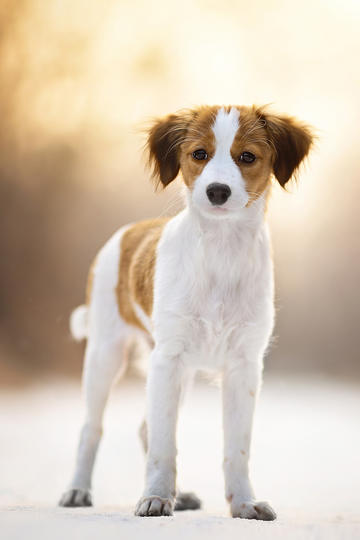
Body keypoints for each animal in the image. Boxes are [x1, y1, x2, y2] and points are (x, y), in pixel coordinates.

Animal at [58, 104, 312, 520]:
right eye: (199, 154)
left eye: (247, 157)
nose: (217, 191)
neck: (221, 253)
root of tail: (128, 231)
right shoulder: (169, 358)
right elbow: (165, 443)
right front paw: (156, 497)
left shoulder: (243, 364)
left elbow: (236, 447)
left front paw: (244, 503)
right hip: (106, 355)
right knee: (91, 428)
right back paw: (78, 490)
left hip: (182, 372)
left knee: (146, 426)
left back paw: (183, 494)